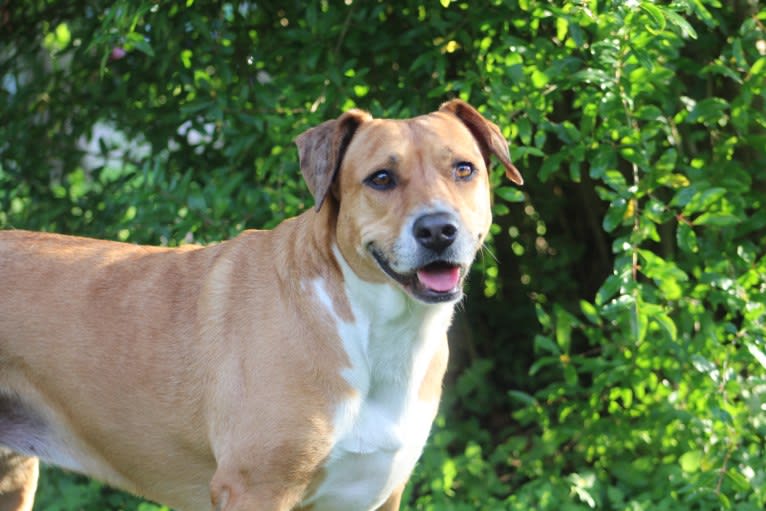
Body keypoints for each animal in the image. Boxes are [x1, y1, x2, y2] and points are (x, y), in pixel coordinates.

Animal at [0, 100, 520, 511]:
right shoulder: (255, 488)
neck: (376, 331)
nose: (437, 230)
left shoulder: (379, 492)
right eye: (381, 179)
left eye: (464, 169)